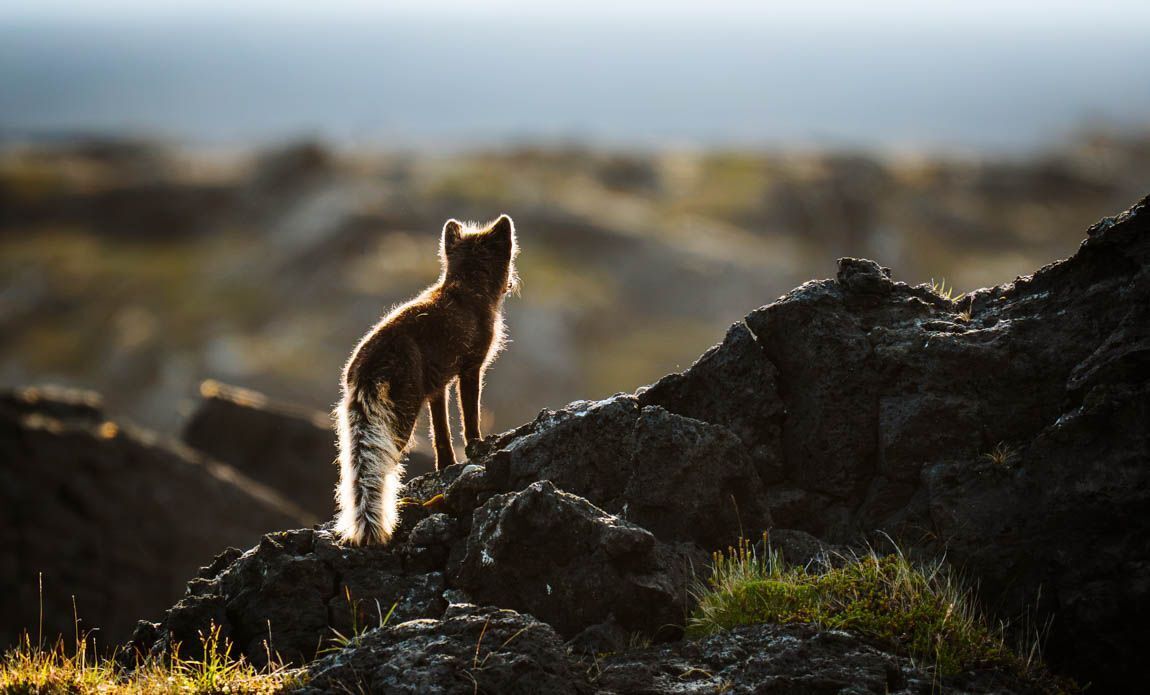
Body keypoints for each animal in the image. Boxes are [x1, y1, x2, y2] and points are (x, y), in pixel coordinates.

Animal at [334, 214, 519, 546]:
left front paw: (446, 465)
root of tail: (365, 364)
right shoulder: (471, 368)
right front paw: (478, 445)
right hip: (402, 415)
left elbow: (440, 432)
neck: (467, 288)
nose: (512, 283)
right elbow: (470, 415)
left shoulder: (436, 387)